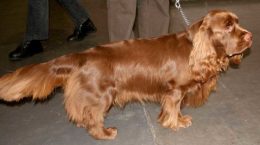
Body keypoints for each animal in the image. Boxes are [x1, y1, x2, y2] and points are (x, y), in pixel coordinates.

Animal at [0, 9, 252, 139]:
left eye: (237, 22)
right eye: (228, 26)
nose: (250, 36)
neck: (195, 48)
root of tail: (82, 55)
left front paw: (177, 119)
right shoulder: (174, 91)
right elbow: (174, 108)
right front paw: (176, 123)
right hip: (102, 95)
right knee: (93, 116)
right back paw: (105, 133)